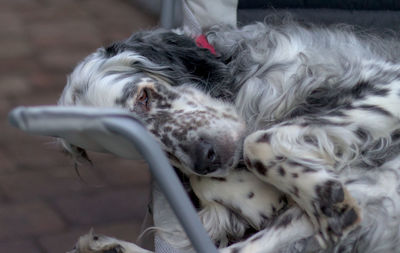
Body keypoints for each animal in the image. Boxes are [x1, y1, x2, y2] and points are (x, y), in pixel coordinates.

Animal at [59, 18, 400, 252]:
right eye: (138, 148)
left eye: (144, 97)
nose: (205, 159)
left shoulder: (390, 82)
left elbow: (257, 142)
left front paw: (324, 197)